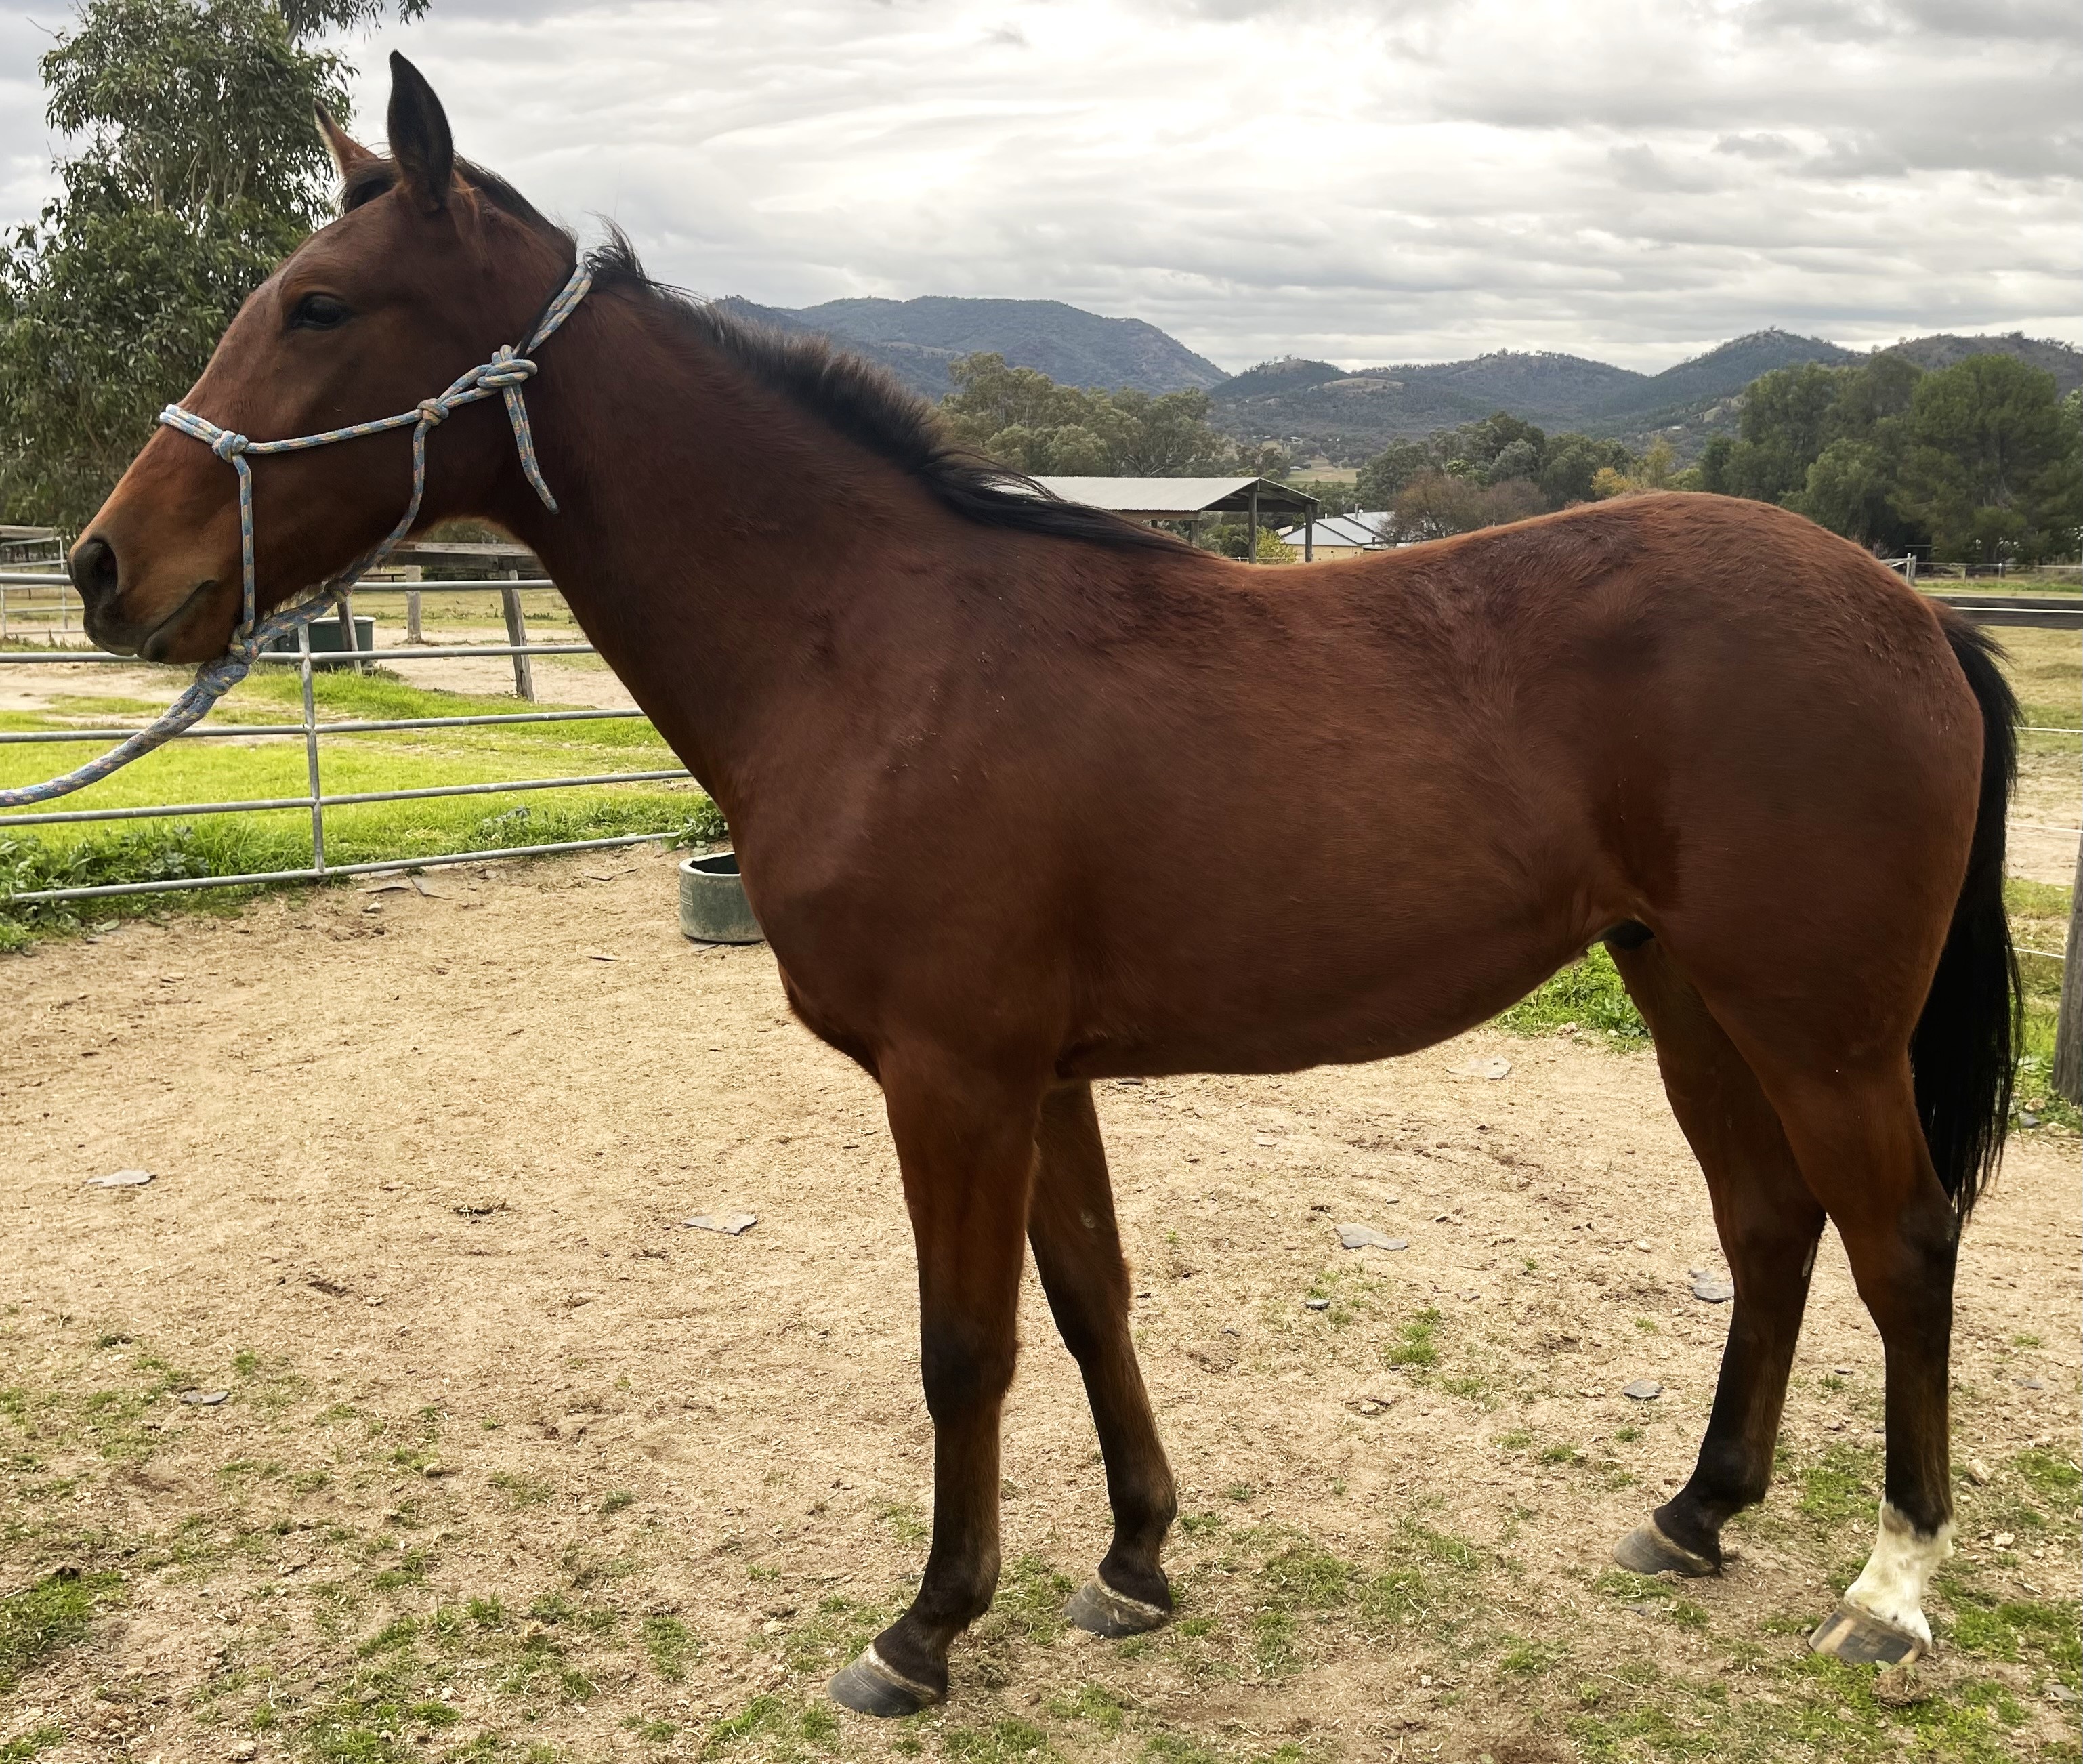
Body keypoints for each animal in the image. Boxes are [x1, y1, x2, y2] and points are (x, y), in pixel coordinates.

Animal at [69, 53, 2017, 1712]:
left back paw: (1888, 1590)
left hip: (1818, 1027)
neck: (873, 645)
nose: (102, 567)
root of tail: (1906, 608)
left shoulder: (954, 1077)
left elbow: (965, 1342)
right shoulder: (1043, 1075)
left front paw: (925, 1627)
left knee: (1900, 1243)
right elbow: (1088, 1302)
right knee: (1764, 1228)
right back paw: (1693, 1513)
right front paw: (1133, 1562)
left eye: (321, 306)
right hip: (1685, 987)